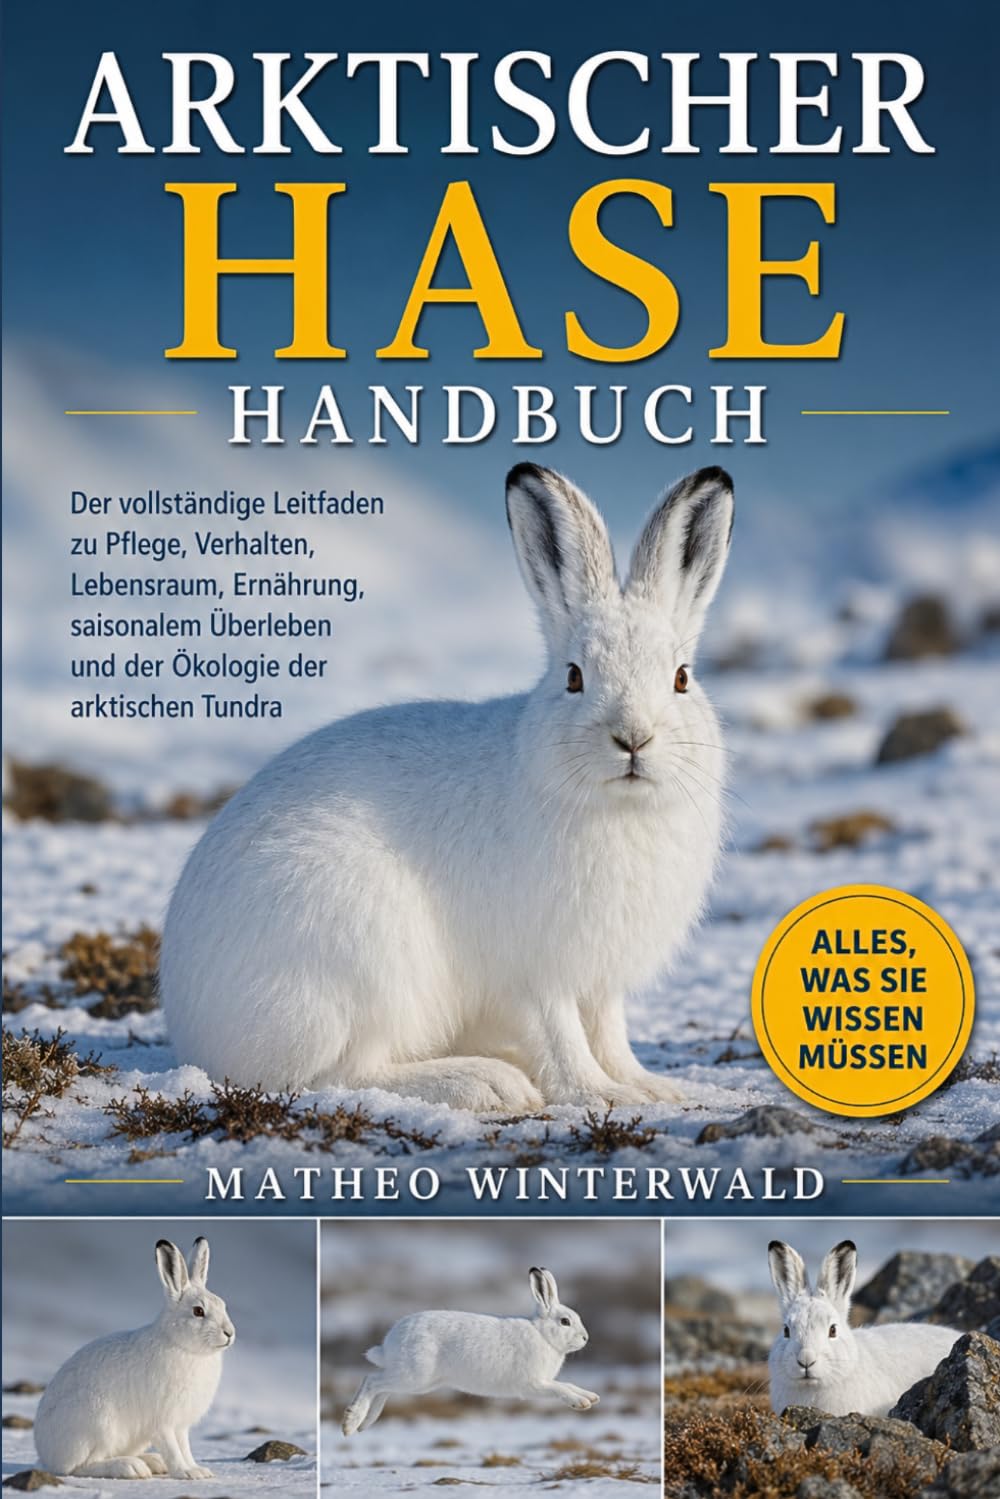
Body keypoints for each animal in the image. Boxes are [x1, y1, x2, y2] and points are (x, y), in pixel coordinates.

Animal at [33, 1238, 234, 1480]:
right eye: (198, 1311)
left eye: (223, 1305)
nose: (229, 1333)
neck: (182, 1346)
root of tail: (46, 1454)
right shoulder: (162, 1422)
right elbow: (173, 1449)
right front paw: (186, 1473)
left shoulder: (180, 1425)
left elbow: (184, 1447)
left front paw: (197, 1470)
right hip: (99, 1424)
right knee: (79, 1467)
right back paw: (131, 1467)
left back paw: (152, 1462)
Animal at [160, 463, 734, 1111]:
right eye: (573, 677)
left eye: (682, 678)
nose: (633, 737)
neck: (618, 807)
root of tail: (194, 1023)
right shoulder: (535, 971)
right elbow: (563, 1038)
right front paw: (595, 1093)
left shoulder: (599, 976)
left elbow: (609, 1033)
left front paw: (649, 1087)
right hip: (364, 965)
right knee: (339, 1073)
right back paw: (486, 1082)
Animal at [342, 1266, 598, 1434]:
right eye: (565, 1321)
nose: (586, 1338)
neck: (543, 1335)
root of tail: (390, 1342)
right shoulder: (533, 1384)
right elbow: (559, 1388)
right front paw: (580, 1403)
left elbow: (567, 1384)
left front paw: (591, 1397)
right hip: (414, 1375)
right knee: (372, 1380)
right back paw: (351, 1423)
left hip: (419, 1382)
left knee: (381, 1387)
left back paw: (365, 1423)